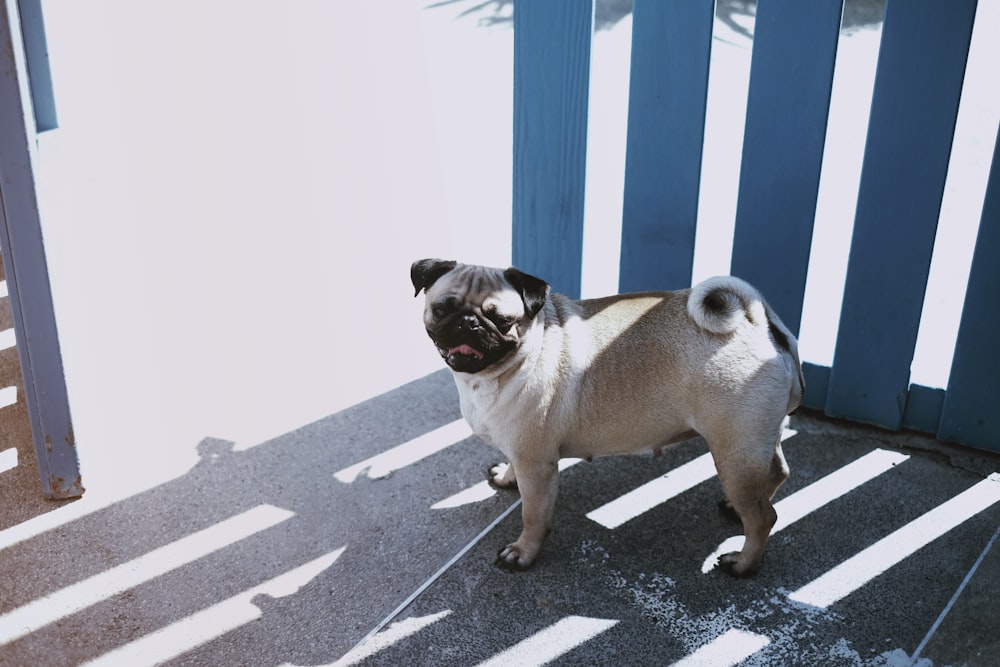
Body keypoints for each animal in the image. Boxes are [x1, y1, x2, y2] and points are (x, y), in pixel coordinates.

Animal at [408, 258, 804, 576]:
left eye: (502, 320)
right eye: (442, 309)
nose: (469, 323)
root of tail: (757, 323)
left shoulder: (536, 465)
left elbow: (533, 516)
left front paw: (522, 554)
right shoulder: (518, 450)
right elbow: (511, 468)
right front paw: (506, 478)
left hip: (734, 452)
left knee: (764, 517)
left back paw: (743, 563)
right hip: (756, 441)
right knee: (777, 474)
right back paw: (737, 512)